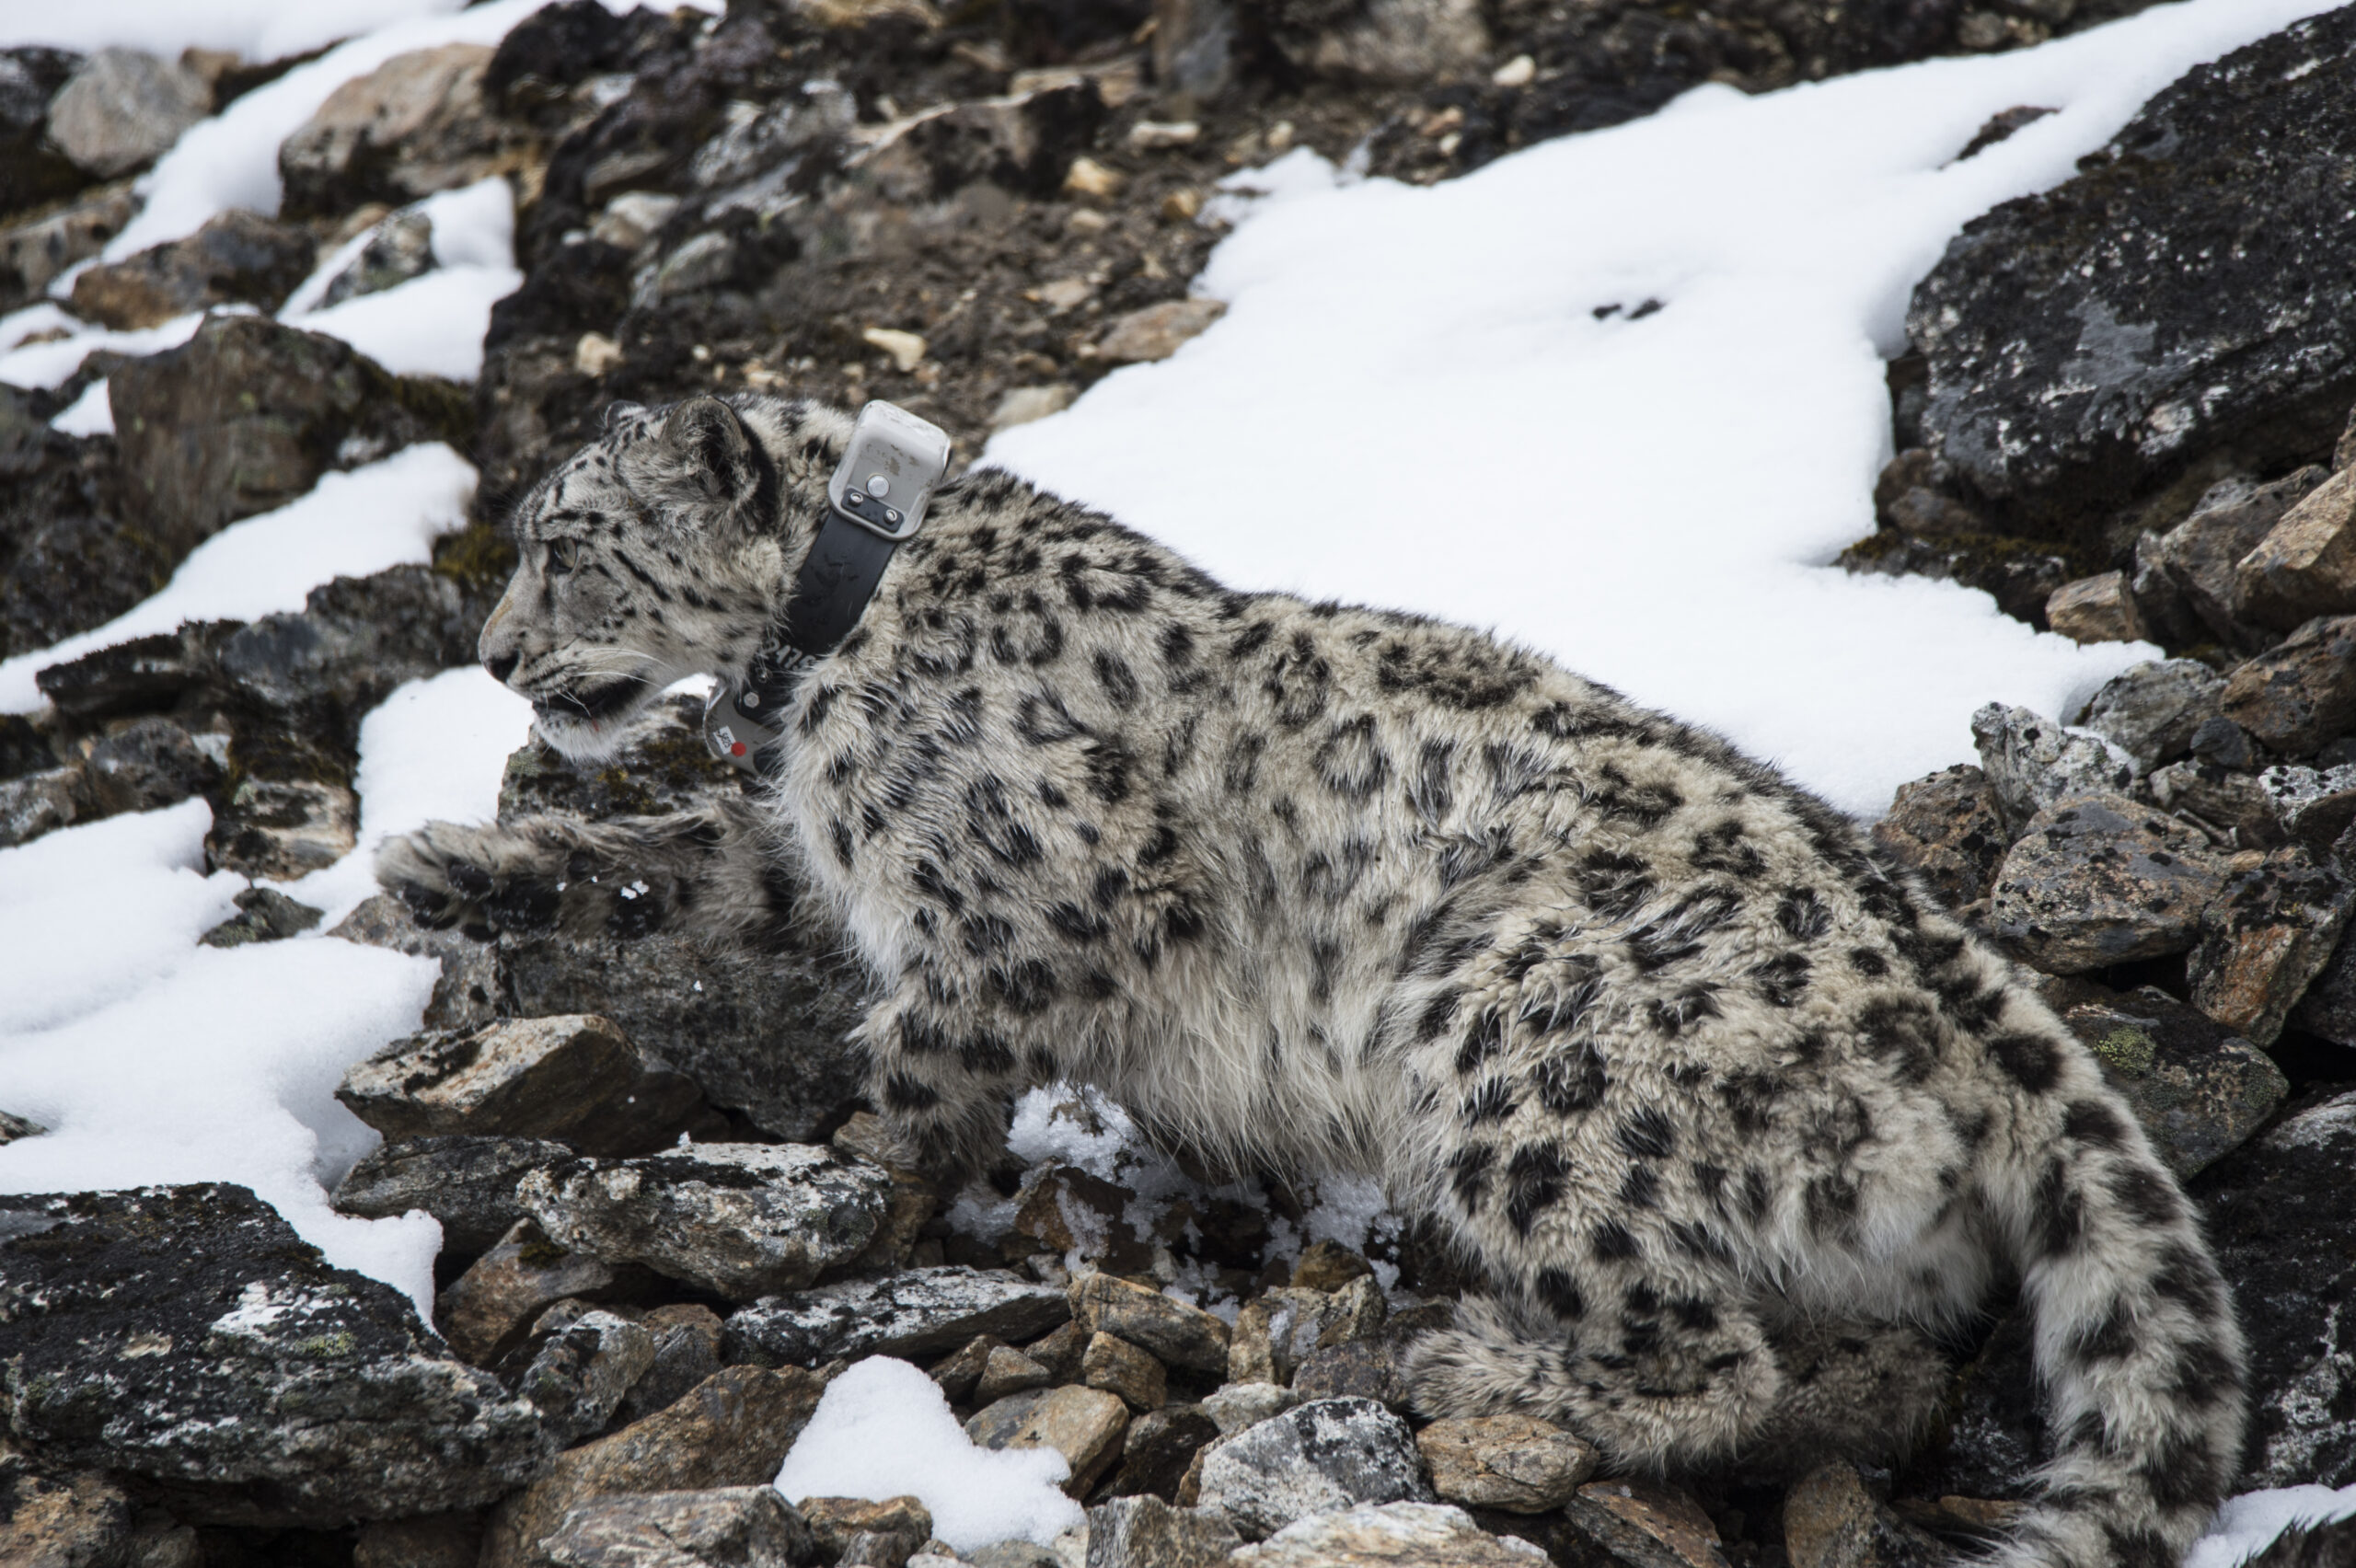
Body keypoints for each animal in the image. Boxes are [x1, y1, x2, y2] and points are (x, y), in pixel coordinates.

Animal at [381, 393, 2243, 1562]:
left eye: (567, 543)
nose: (497, 658)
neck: (834, 648)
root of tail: (1963, 970)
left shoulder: (1025, 897)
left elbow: (916, 1070)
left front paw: (828, 1196)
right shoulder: (837, 859)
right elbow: (705, 857)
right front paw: (452, 867)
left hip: (1512, 1035)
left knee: (1714, 1356)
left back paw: (1470, 1362)